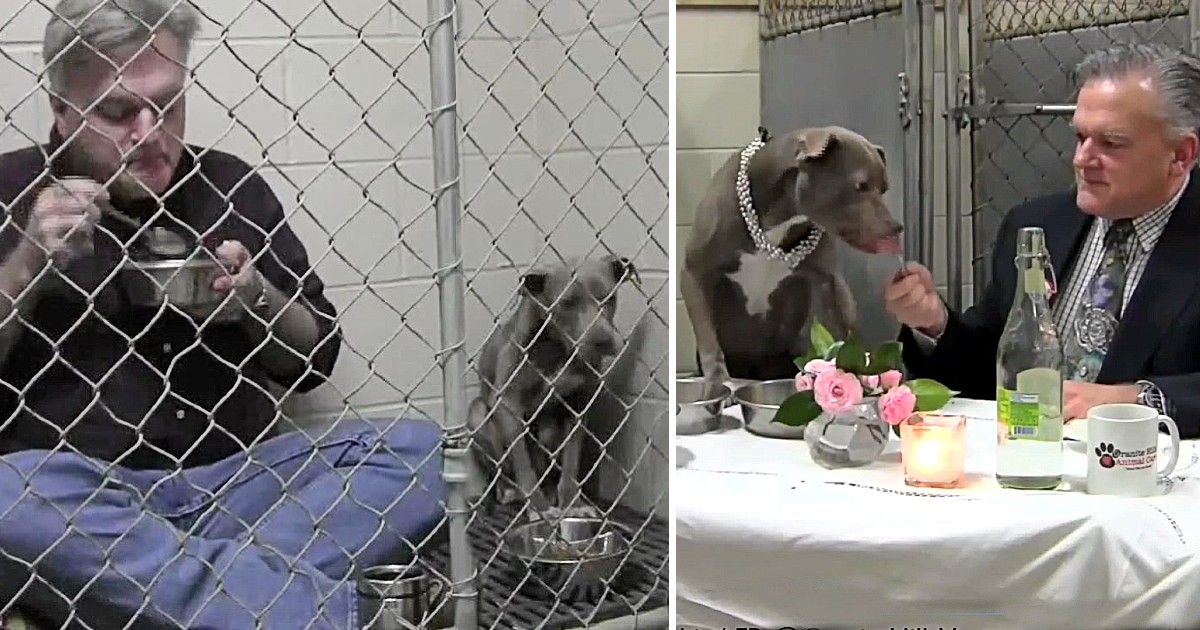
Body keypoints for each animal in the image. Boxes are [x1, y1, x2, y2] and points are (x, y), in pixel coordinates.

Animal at [681, 126, 902, 391]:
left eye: (885, 188)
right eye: (860, 186)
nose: (897, 227)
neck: (780, 219)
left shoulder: (831, 281)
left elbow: (848, 327)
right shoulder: (694, 271)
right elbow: (709, 340)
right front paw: (716, 381)